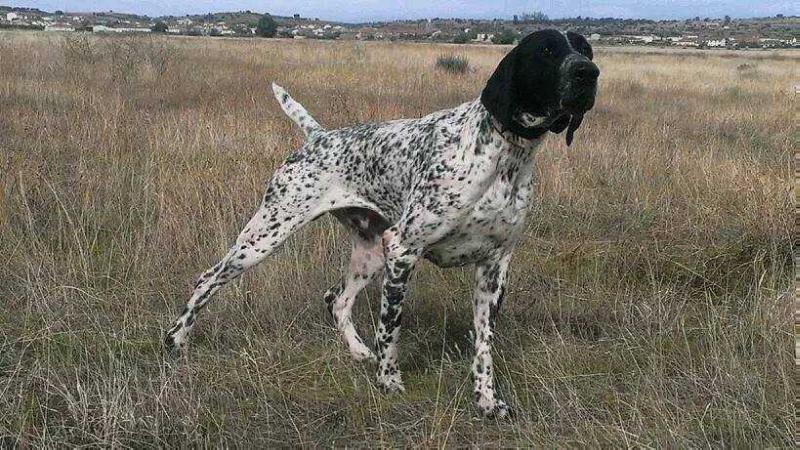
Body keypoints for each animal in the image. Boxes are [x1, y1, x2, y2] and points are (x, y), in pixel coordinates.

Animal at [166, 29, 596, 418]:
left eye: (585, 48)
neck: (505, 157)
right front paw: (389, 382)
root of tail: (318, 137)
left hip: (370, 252)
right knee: (207, 279)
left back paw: (358, 351)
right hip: (265, 236)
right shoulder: (404, 250)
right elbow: (391, 328)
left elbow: (484, 346)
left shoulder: (494, 269)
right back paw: (177, 340)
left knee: (336, 299)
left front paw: (488, 400)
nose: (588, 72)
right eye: (546, 50)